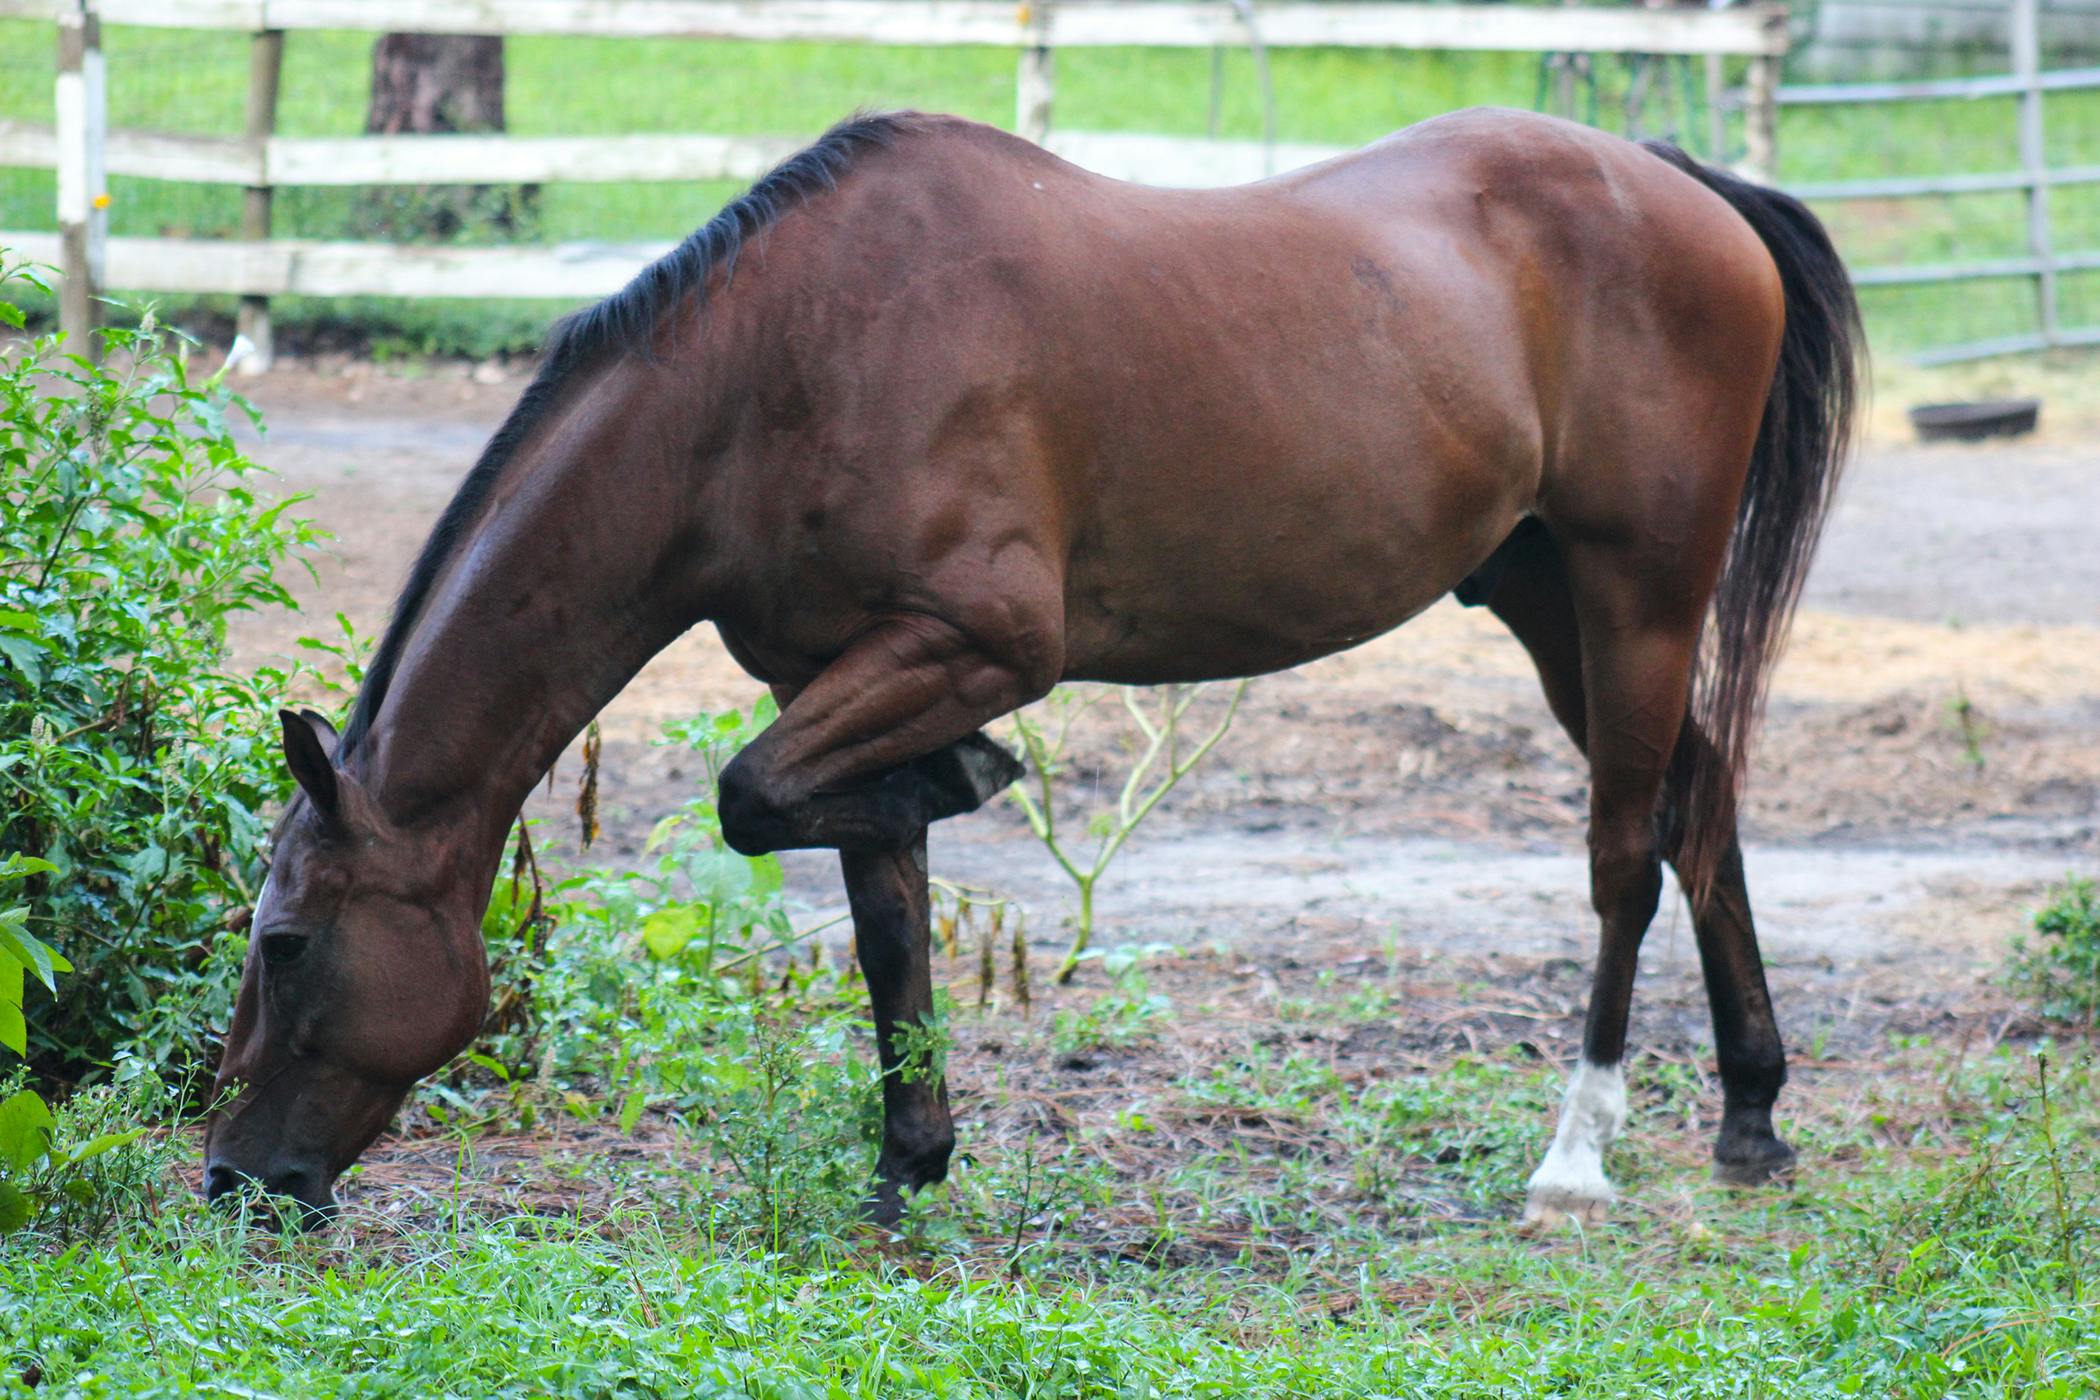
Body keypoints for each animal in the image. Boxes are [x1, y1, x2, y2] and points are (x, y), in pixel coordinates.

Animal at [203, 107, 1860, 1228]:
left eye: (286, 945)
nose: (231, 1176)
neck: (781, 370)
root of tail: (1686, 186)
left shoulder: (978, 645)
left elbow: (756, 803)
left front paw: (963, 789)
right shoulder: (830, 670)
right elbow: (876, 903)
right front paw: (908, 1161)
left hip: (1637, 594)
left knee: (1626, 851)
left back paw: (1578, 1153)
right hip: (1545, 601)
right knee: (1702, 804)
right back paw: (1752, 1113)